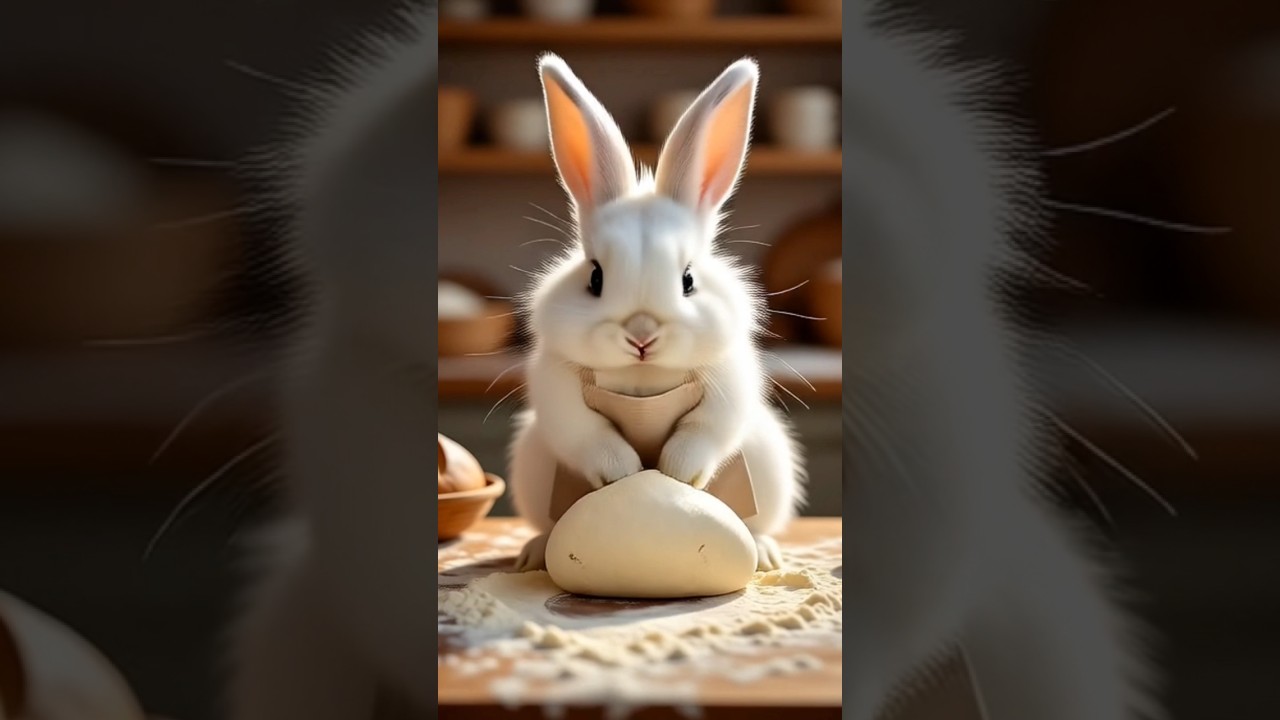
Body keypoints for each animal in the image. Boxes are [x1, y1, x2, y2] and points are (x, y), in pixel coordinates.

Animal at [507, 54, 806, 573]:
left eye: (688, 280)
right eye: (595, 278)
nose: (641, 334)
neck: (643, 380)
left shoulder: (728, 381)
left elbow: (705, 429)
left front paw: (675, 473)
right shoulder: (557, 389)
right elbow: (587, 433)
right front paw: (627, 472)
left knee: (756, 522)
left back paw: (766, 554)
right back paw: (533, 553)